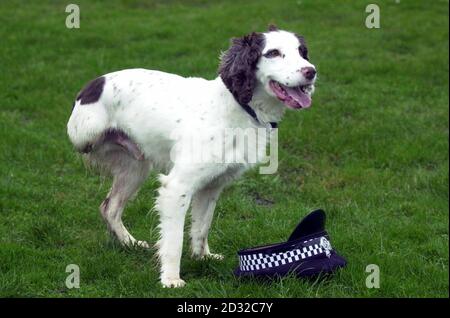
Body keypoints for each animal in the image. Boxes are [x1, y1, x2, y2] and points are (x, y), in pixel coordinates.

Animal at [67, 25, 316, 288]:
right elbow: (174, 239)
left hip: (135, 167)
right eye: (274, 53)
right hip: (90, 137)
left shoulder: (212, 186)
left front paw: (202, 257)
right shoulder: (177, 187)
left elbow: (201, 227)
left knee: (110, 207)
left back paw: (130, 243)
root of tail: (90, 86)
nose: (311, 72)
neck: (237, 107)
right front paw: (170, 278)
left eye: (301, 52)